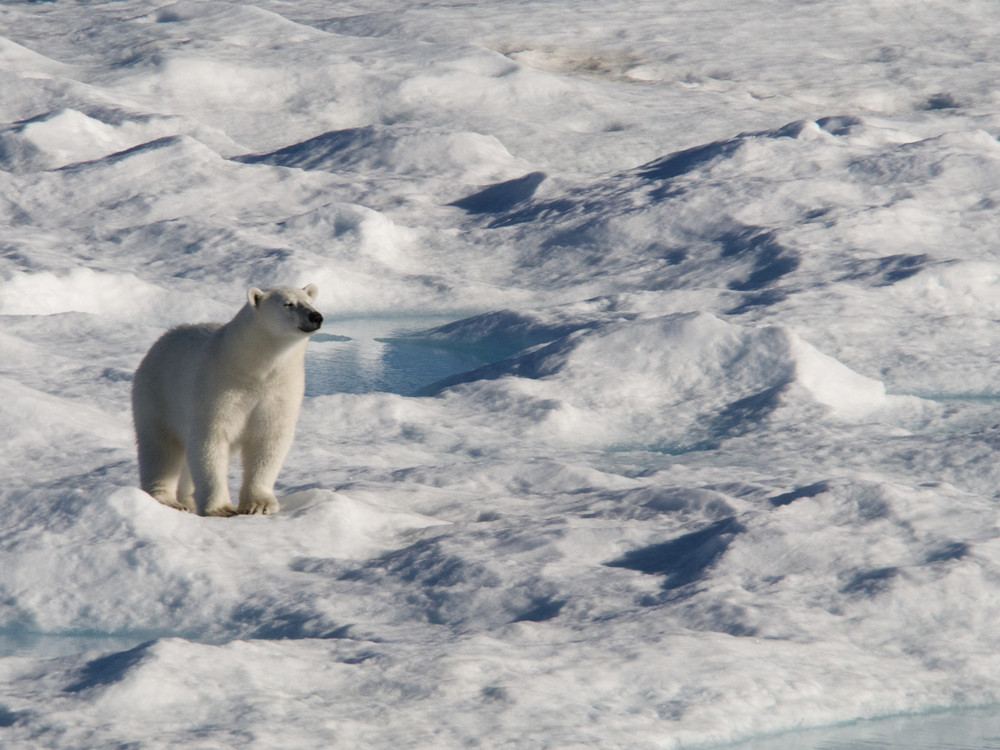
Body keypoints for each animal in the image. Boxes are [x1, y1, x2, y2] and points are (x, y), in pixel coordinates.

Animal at [131, 284, 322, 516]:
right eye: (288, 304)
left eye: (310, 302)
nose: (316, 317)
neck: (253, 367)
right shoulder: (219, 388)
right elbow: (211, 440)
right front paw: (221, 508)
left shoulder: (279, 389)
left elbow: (268, 440)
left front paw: (260, 504)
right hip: (157, 395)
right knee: (161, 448)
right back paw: (168, 500)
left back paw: (188, 499)